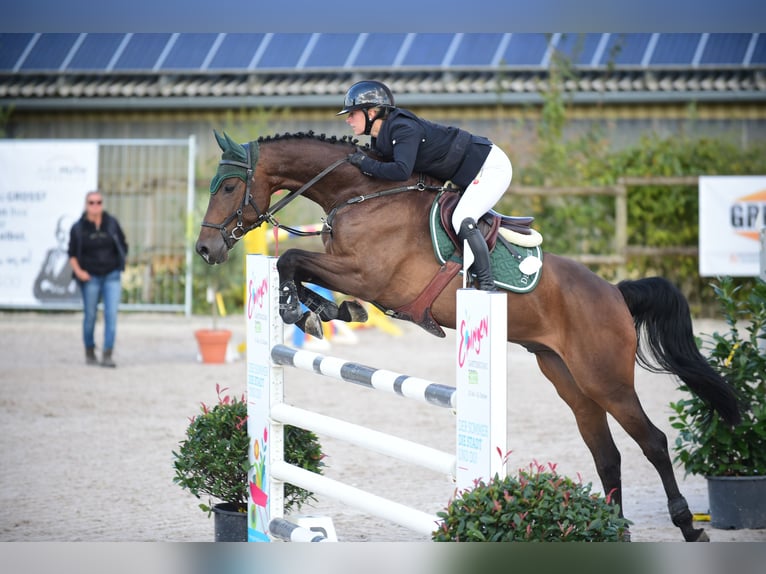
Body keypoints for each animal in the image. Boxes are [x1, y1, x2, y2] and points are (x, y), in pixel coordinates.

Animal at [198, 132, 744, 544]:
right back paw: (616, 530)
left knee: (653, 441)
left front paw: (307, 309)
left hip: (606, 378)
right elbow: (295, 266)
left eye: (229, 186)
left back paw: (687, 525)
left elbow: (291, 259)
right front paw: (322, 311)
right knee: (606, 454)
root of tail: (613, 291)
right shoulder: (348, 270)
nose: (205, 249)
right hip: (568, 379)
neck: (360, 195)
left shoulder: (369, 275)